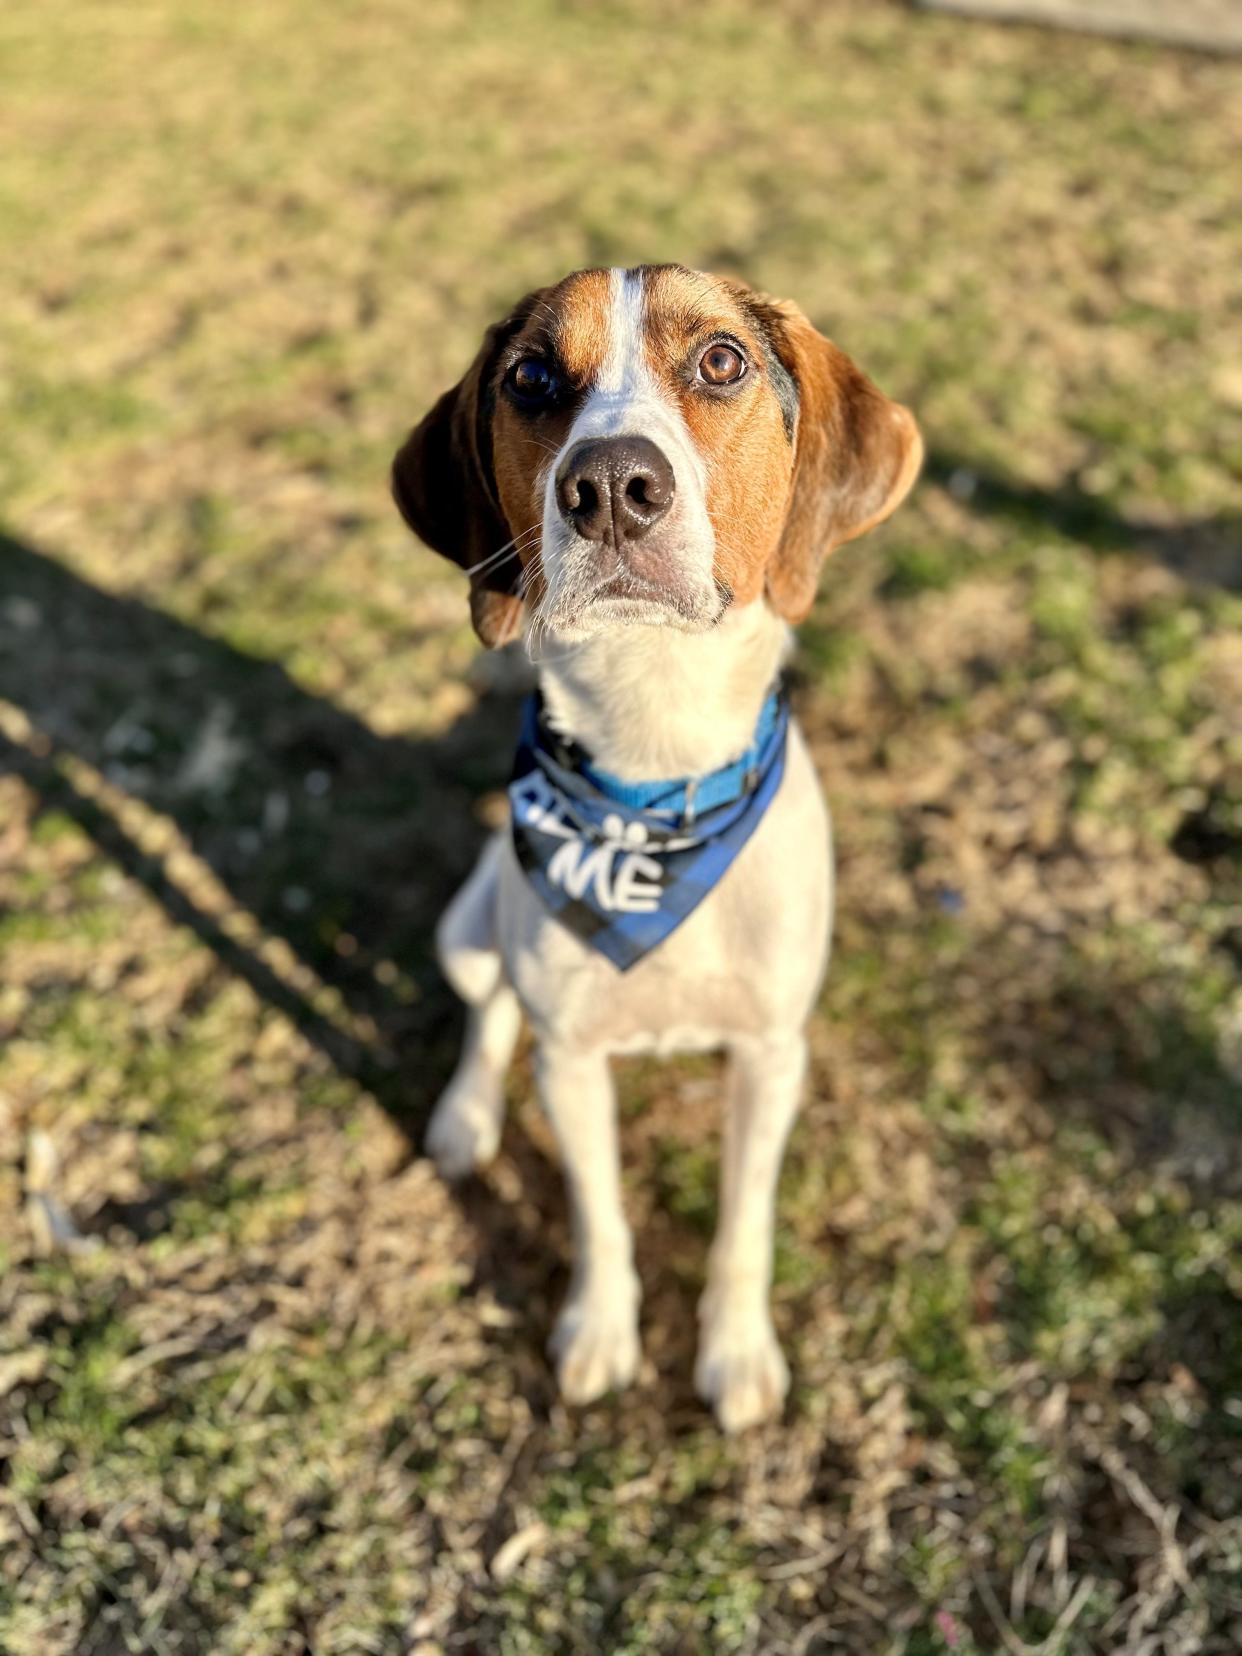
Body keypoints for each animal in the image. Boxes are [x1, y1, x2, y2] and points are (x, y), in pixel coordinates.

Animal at [390, 268, 927, 1424]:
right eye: (530, 377)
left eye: (723, 360)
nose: (608, 486)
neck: (653, 782)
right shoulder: (572, 1061)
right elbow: (599, 1215)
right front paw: (600, 1332)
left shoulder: (771, 1055)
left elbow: (744, 1226)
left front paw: (735, 1352)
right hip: (468, 925)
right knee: (490, 1011)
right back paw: (463, 1119)